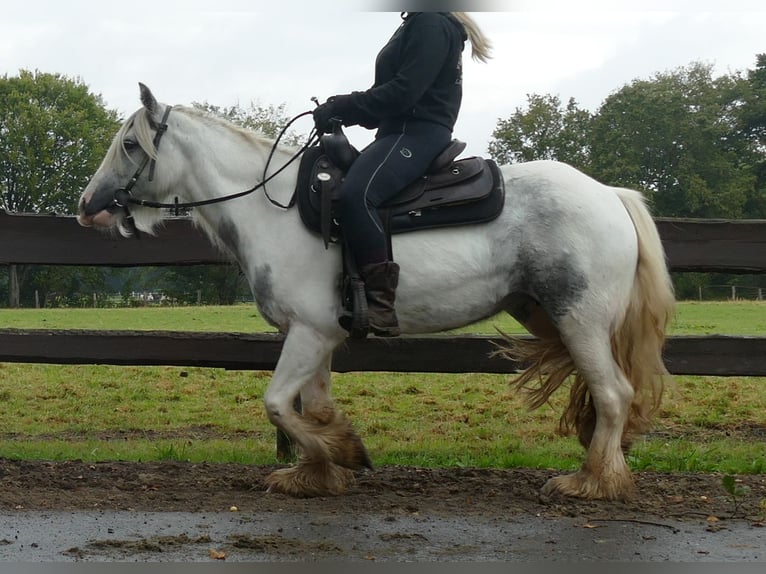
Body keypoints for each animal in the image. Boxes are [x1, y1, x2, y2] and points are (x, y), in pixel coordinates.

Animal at [79, 83, 680, 502]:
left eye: (129, 144)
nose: (90, 207)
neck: (273, 207)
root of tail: (609, 193)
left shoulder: (308, 333)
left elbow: (277, 404)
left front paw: (344, 453)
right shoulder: (317, 337)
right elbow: (313, 405)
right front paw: (317, 472)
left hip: (580, 319)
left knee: (614, 394)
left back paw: (592, 483)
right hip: (547, 315)